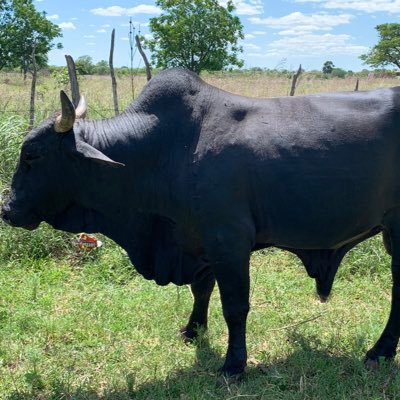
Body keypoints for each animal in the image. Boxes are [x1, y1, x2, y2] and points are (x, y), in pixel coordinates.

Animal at [0, 67, 400, 376]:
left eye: (32, 154)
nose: (7, 210)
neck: (164, 149)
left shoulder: (229, 242)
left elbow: (235, 305)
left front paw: (234, 365)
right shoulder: (199, 242)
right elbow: (202, 290)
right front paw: (193, 330)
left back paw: (379, 352)